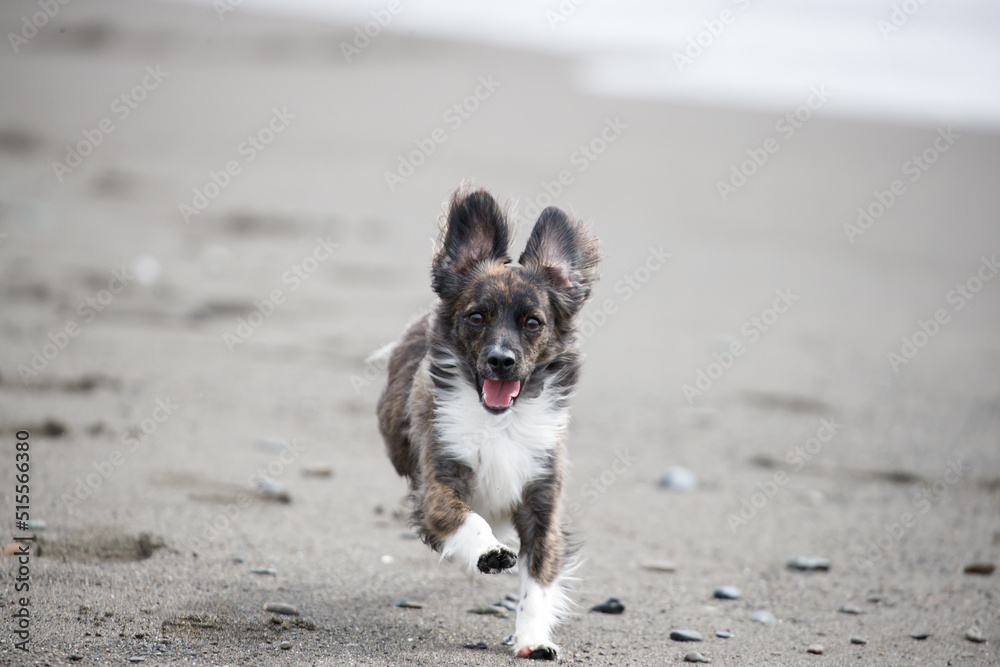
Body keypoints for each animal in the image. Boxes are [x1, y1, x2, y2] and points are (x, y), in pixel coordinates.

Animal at [376, 184, 600, 659]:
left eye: (533, 322)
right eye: (476, 317)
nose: (501, 360)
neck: (500, 422)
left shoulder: (542, 504)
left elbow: (538, 579)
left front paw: (532, 639)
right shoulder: (436, 487)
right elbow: (466, 518)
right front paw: (489, 553)